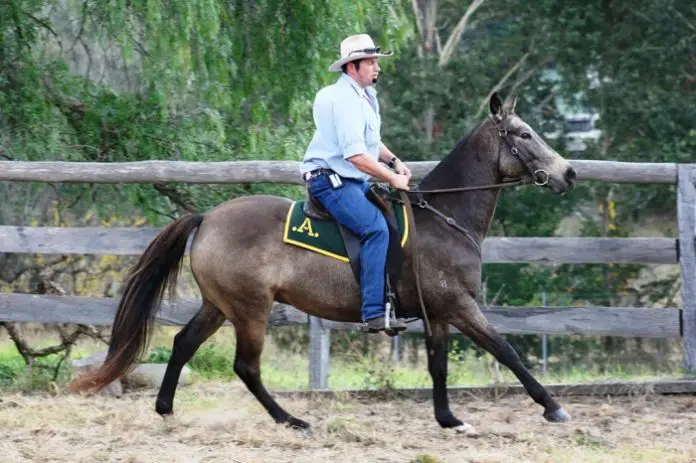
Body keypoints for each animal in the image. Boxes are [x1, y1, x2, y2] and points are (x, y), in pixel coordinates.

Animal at [71, 92, 576, 432]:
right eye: (525, 134)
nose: (569, 173)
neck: (443, 218)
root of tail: (209, 218)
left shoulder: (438, 314)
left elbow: (439, 365)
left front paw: (448, 418)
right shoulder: (459, 306)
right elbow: (506, 350)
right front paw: (552, 406)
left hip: (219, 306)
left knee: (182, 345)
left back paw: (167, 409)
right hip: (250, 311)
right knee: (246, 367)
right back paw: (291, 419)